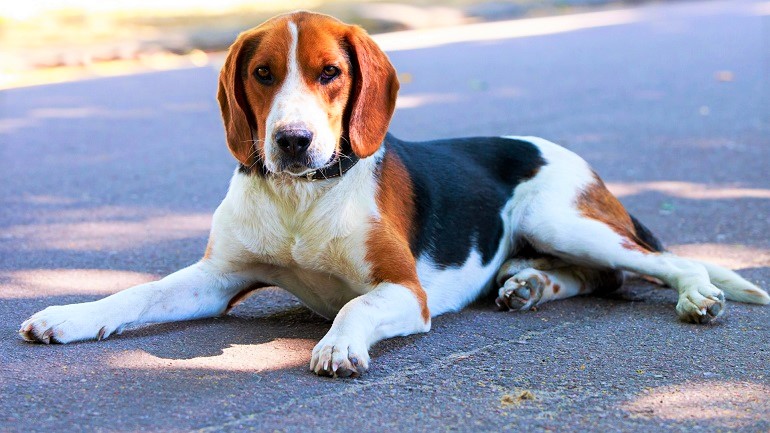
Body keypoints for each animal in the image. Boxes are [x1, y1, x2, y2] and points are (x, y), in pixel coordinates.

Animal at [19, 9, 768, 374]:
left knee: (658, 262)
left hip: (566, 218)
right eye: (262, 73)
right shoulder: (216, 277)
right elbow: (135, 295)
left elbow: (353, 308)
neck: (301, 199)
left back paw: (696, 296)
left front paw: (339, 345)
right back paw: (528, 285)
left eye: (329, 72)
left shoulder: (402, 290)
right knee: (595, 276)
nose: (292, 142)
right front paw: (72, 315)